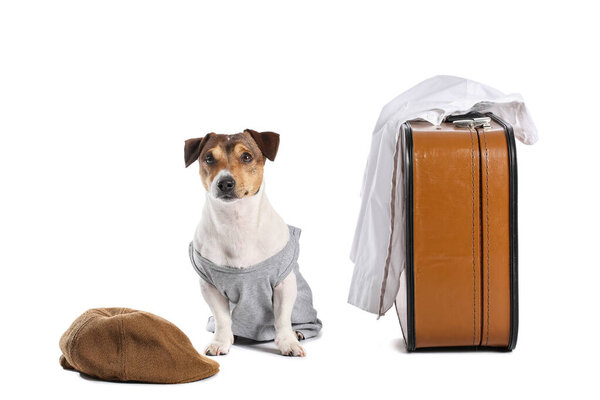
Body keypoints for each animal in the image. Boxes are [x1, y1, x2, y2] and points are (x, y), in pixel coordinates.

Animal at [184, 130, 322, 358]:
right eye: (209, 158)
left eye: (246, 156)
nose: (225, 183)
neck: (236, 223)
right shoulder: (209, 286)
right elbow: (222, 318)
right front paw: (220, 342)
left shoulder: (284, 284)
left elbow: (282, 318)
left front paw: (288, 342)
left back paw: (299, 332)